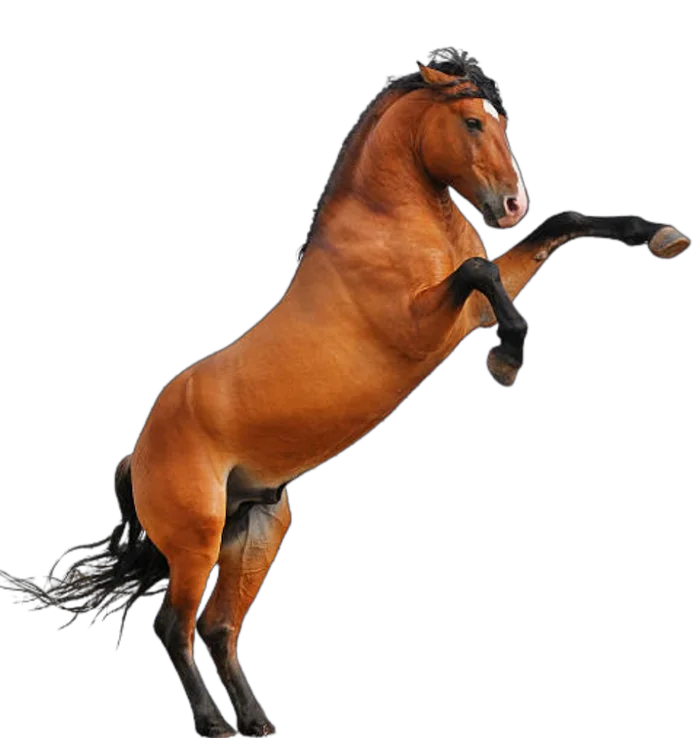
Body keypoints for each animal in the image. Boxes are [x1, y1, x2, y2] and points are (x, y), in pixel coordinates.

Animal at [43, 52, 691, 737]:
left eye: (502, 120)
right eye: (470, 121)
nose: (513, 204)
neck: (388, 226)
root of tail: (138, 454)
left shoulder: (467, 314)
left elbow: (556, 230)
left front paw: (662, 237)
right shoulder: (426, 326)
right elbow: (481, 271)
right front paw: (506, 362)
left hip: (256, 529)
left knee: (219, 628)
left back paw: (256, 721)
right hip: (198, 542)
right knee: (177, 625)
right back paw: (215, 724)